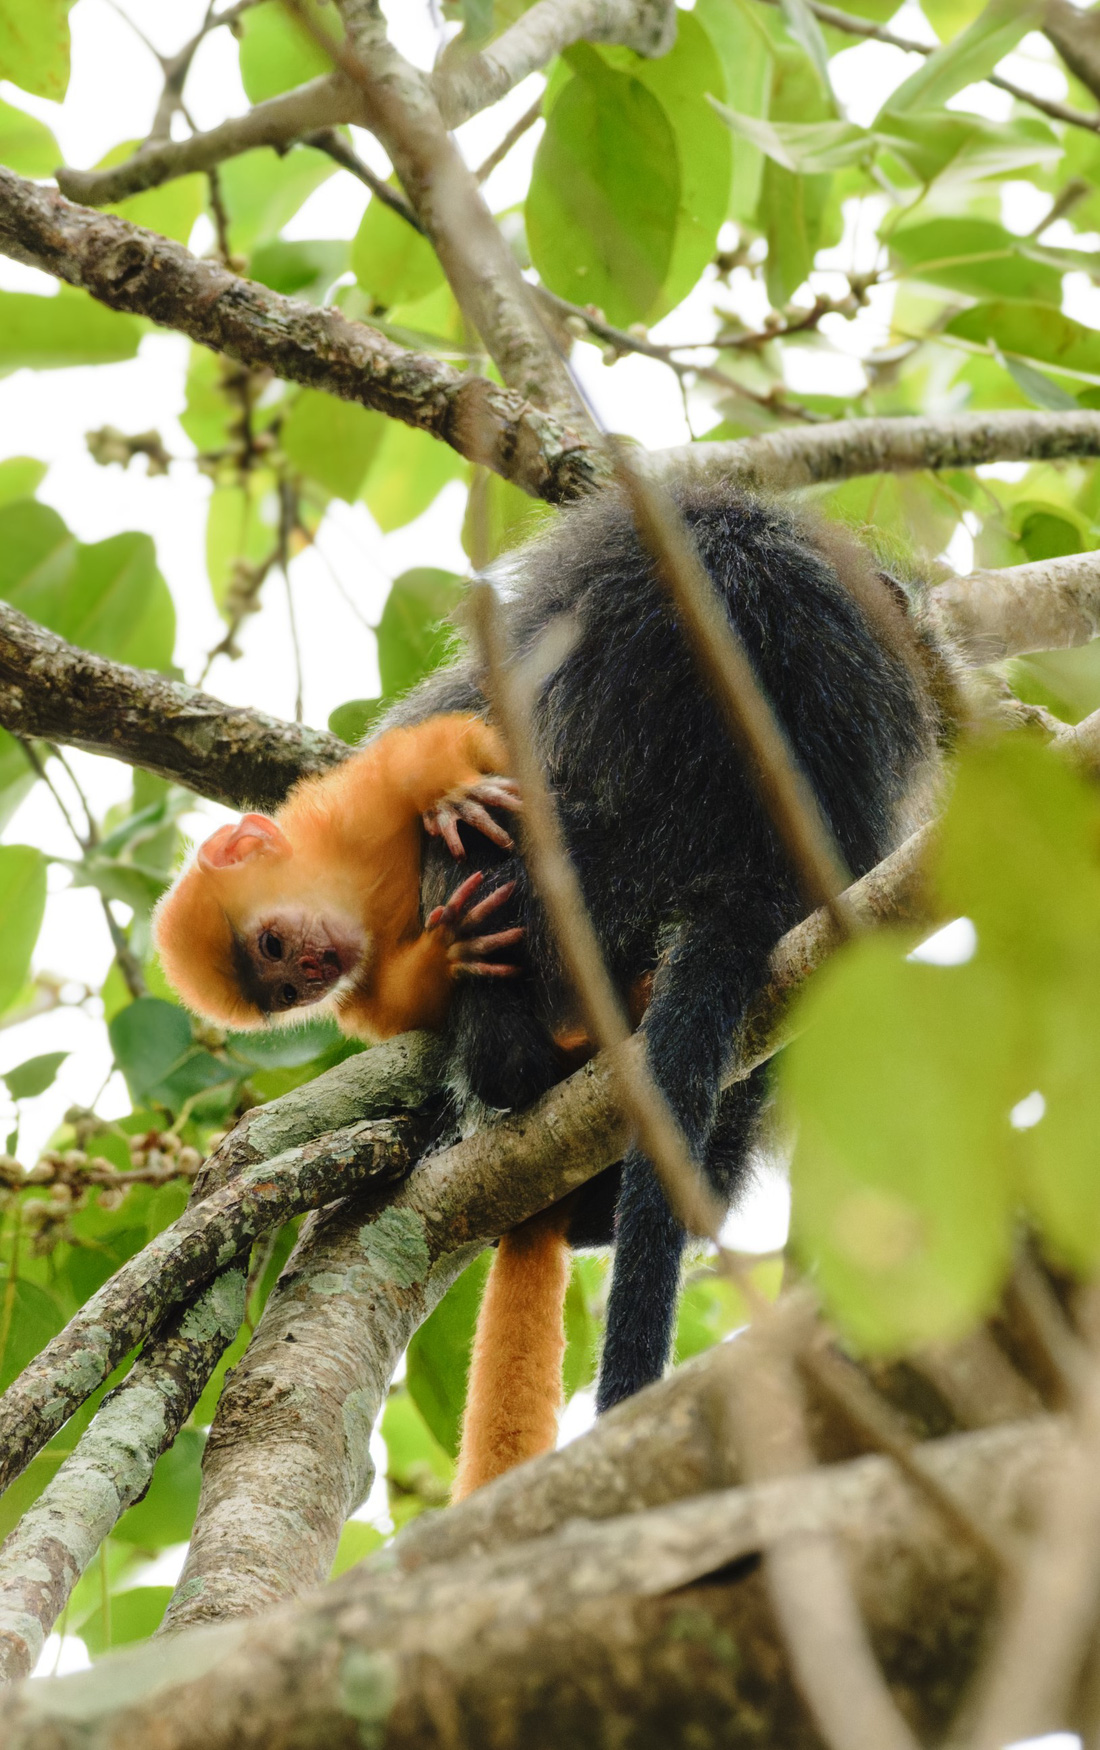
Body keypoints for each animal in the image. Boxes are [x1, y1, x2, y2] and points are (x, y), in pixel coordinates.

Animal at [153, 717, 524, 1043]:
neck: (356, 896)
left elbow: (419, 751)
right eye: (288, 993)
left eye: (272, 945)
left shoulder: (349, 815)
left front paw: (449, 794)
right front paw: (447, 951)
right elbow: (409, 1013)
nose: (312, 972)